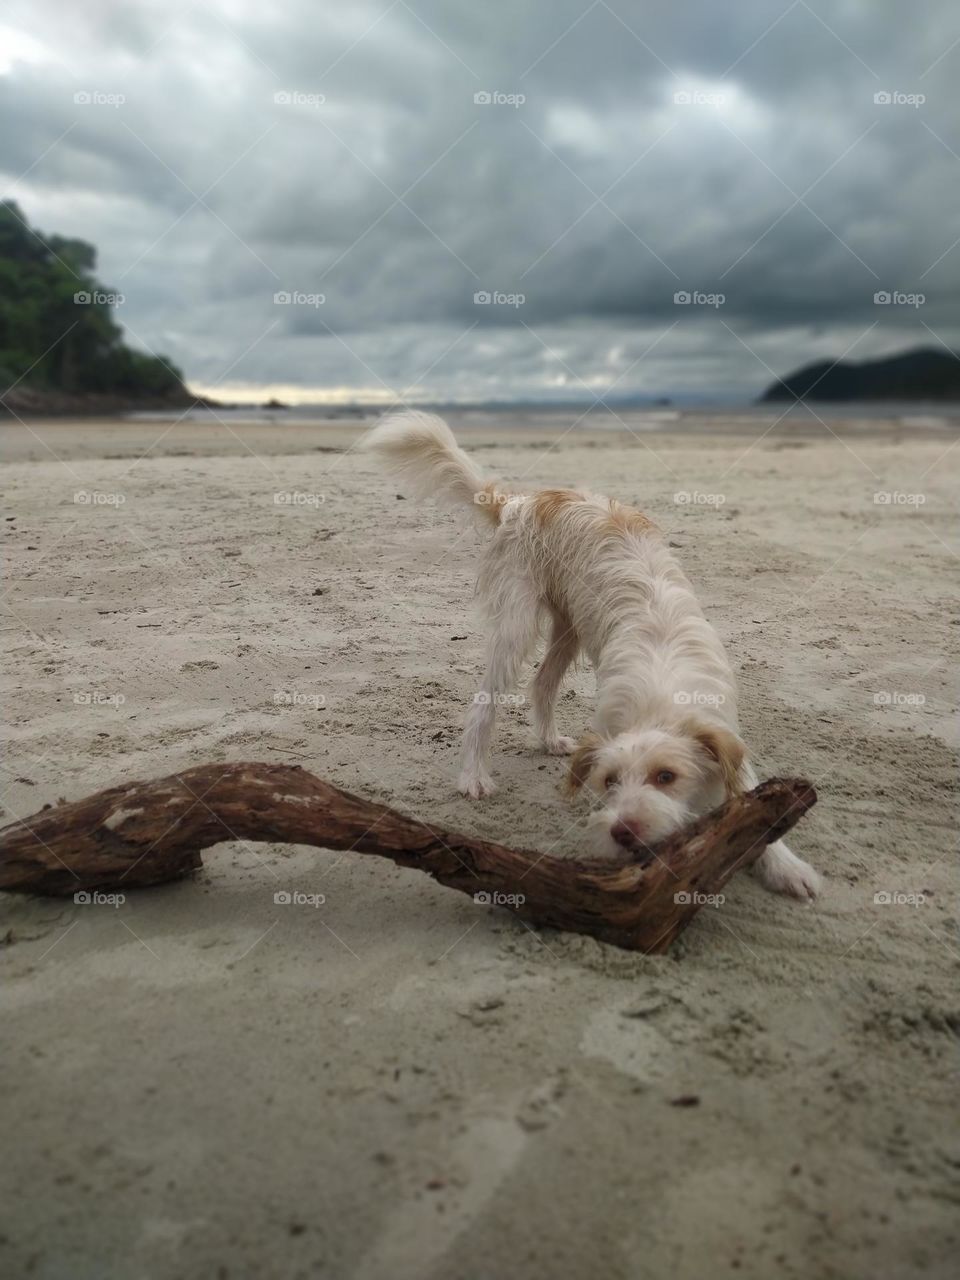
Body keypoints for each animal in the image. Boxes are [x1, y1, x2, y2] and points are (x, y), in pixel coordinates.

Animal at [363, 409, 824, 901]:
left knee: (542, 683)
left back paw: (548, 740)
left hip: (570, 627)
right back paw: (473, 776)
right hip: (517, 625)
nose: (624, 833)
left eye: (666, 776)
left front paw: (787, 867)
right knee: (484, 701)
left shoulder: (721, 727)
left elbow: (752, 796)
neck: (659, 698)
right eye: (610, 781)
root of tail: (521, 501)